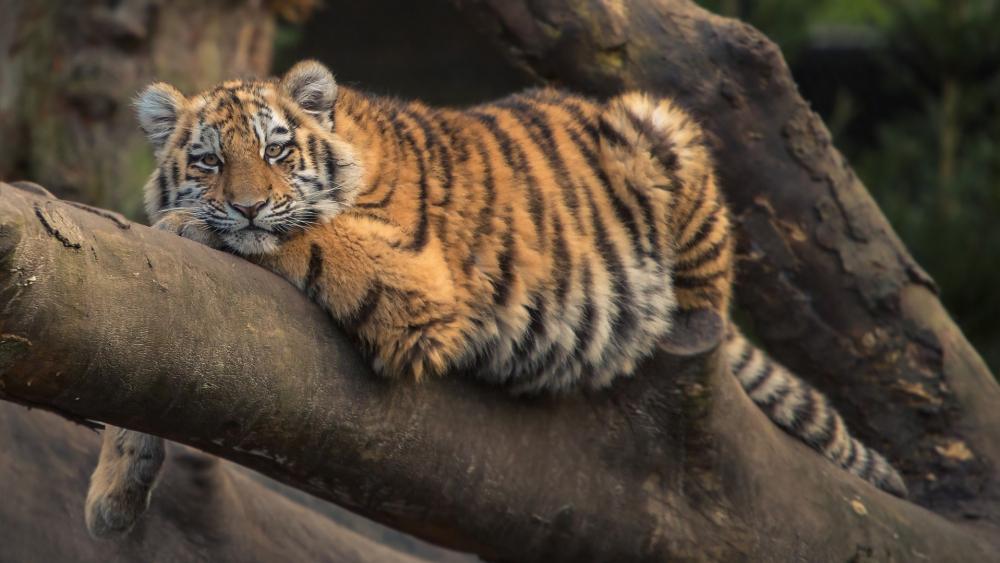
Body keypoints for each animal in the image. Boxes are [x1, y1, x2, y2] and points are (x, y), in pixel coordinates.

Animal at [84, 60, 907, 538]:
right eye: (208, 160)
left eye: (278, 150)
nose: (248, 205)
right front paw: (112, 497)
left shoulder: (412, 280)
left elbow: (303, 234)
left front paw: (189, 224)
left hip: (661, 132)